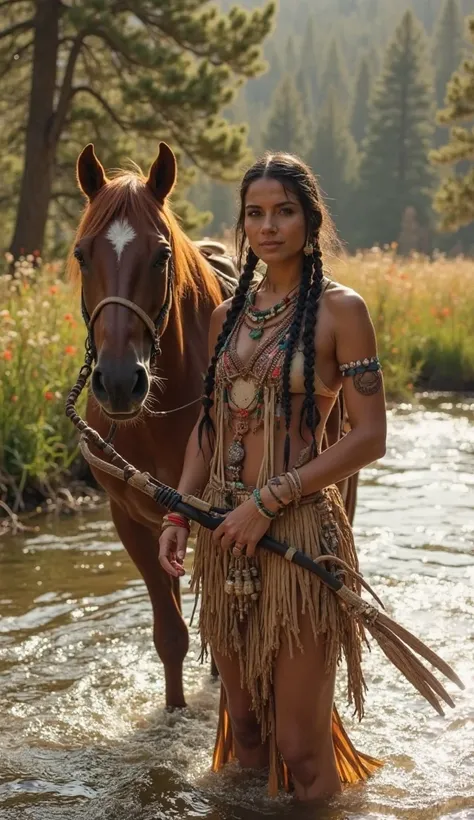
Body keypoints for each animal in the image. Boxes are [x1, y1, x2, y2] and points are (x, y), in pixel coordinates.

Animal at [68, 141, 235, 704]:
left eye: (161, 256)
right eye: (81, 254)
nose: (120, 382)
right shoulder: (133, 522)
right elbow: (171, 636)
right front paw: (175, 709)